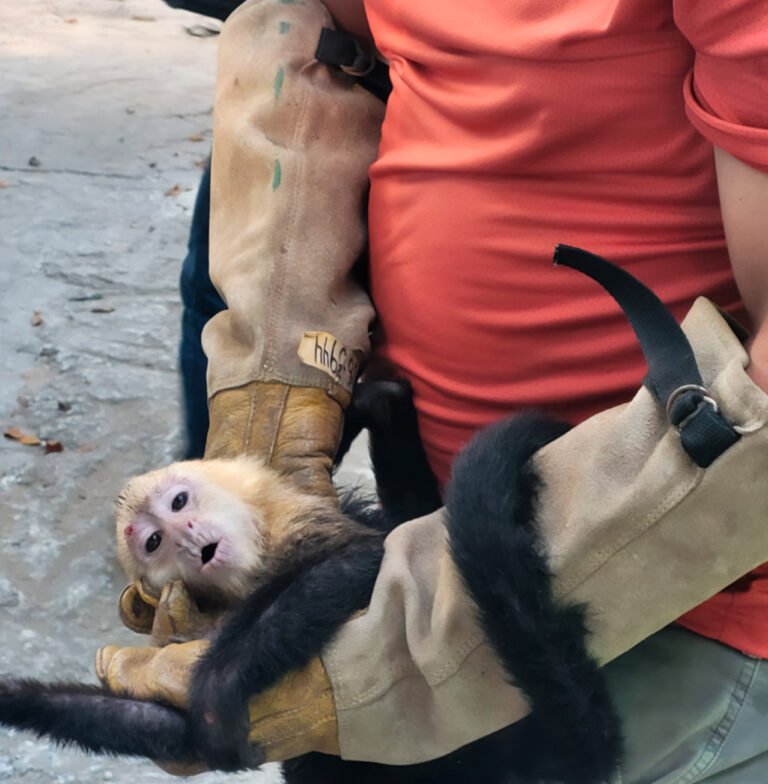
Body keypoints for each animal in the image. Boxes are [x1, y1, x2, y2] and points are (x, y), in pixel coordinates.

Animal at [0, 381, 621, 784]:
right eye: (153, 542)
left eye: (179, 503)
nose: (187, 536)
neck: (261, 561)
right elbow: (177, 732)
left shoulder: (309, 525)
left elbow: (370, 559)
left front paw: (220, 681)